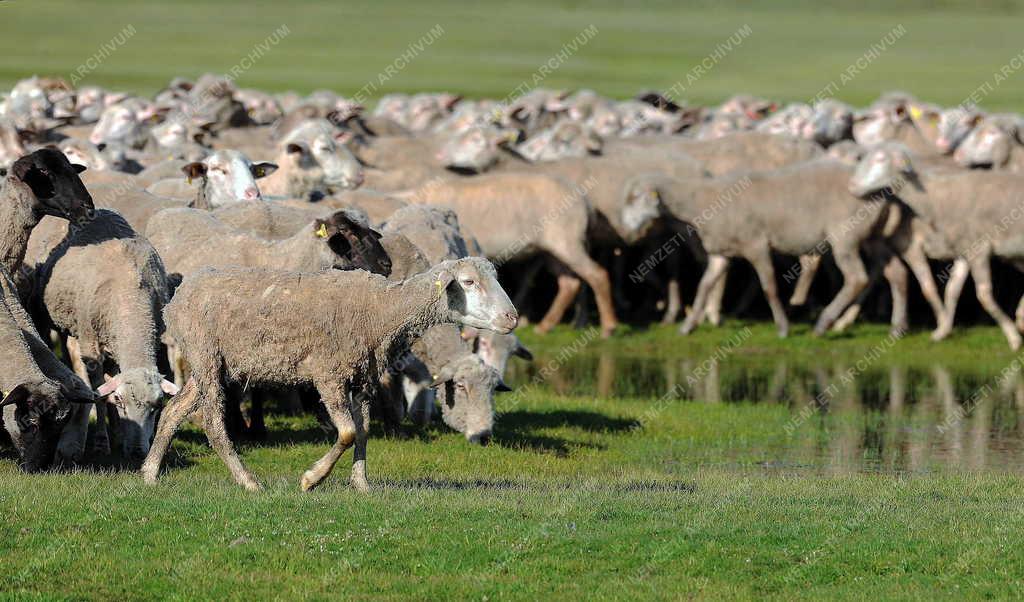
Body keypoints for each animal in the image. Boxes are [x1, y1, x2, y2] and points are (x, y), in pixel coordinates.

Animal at [32, 208, 178, 462]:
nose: (137, 453)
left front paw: (118, 433)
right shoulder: (91, 346)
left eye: (157, 406)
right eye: (121, 401)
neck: (131, 304)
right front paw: (101, 442)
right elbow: (100, 392)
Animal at [142, 255, 520, 491]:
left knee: (174, 410)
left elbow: (364, 431)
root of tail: (177, 298)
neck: (381, 311)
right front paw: (312, 479)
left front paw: (361, 484)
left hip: (211, 363)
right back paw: (248, 481)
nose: (512, 317)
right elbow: (348, 433)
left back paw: (149, 473)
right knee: (213, 423)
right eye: (468, 282)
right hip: (205, 354)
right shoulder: (329, 375)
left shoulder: (362, 378)